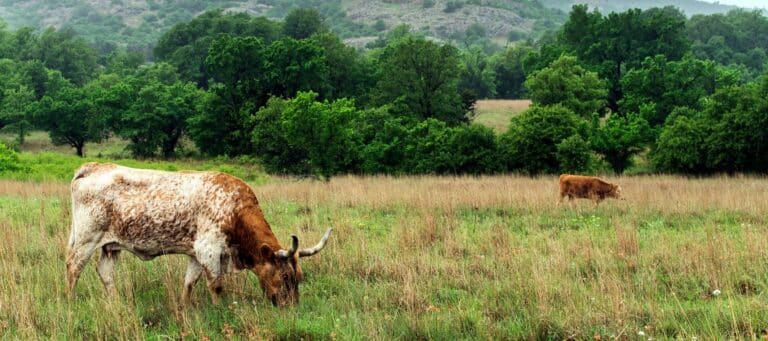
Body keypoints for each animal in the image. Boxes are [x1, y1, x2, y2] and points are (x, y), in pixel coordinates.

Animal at [67, 162, 330, 306]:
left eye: (299, 277)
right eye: (285, 276)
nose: (291, 307)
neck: (234, 210)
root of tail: (94, 167)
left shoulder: (195, 253)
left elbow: (189, 283)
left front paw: (185, 307)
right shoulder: (209, 251)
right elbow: (216, 285)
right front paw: (221, 309)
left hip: (110, 246)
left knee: (104, 272)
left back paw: (116, 301)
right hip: (86, 238)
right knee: (73, 268)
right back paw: (70, 301)